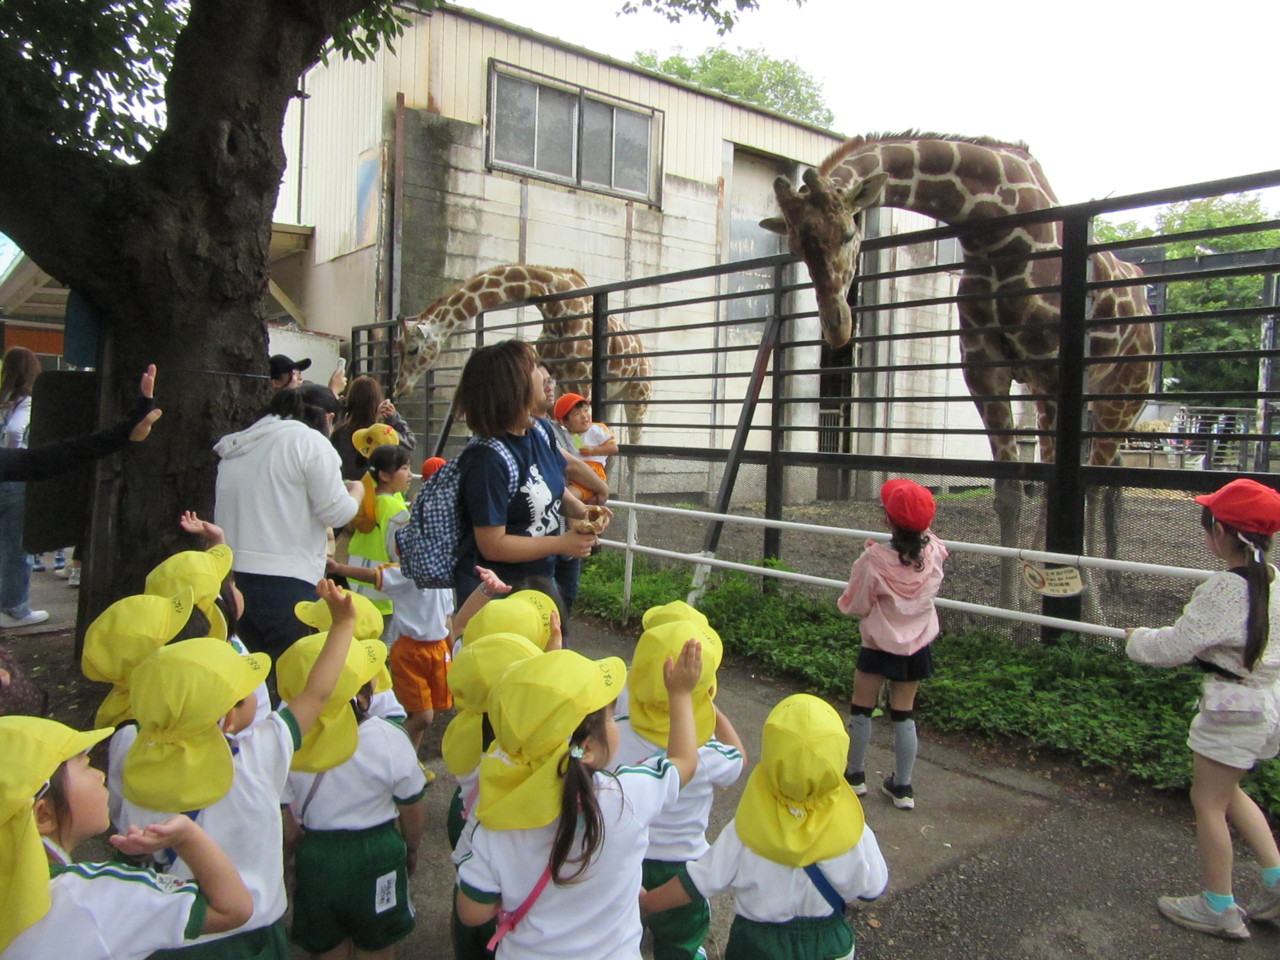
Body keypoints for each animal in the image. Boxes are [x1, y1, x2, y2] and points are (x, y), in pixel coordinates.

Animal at [393, 264, 651, 444]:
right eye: (398, 346)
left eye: (412, 349)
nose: (399, 388)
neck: (556, 307)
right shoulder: (554, 380)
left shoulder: (581, 378)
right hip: (614, 395)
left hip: (639, 394)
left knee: (634, 447)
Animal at [761, 133, 1155, 611]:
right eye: (797, 248)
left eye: (851, 232)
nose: (838, 327)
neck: (992, 232)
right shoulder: (986, 372)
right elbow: (1009, 494)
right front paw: (1010, 609)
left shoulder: (1054, 370)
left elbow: (1065, 492)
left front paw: (1070, 606)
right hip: (1055, 400)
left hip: (1122, 393)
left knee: (1094, 487)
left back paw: (1093, 599)